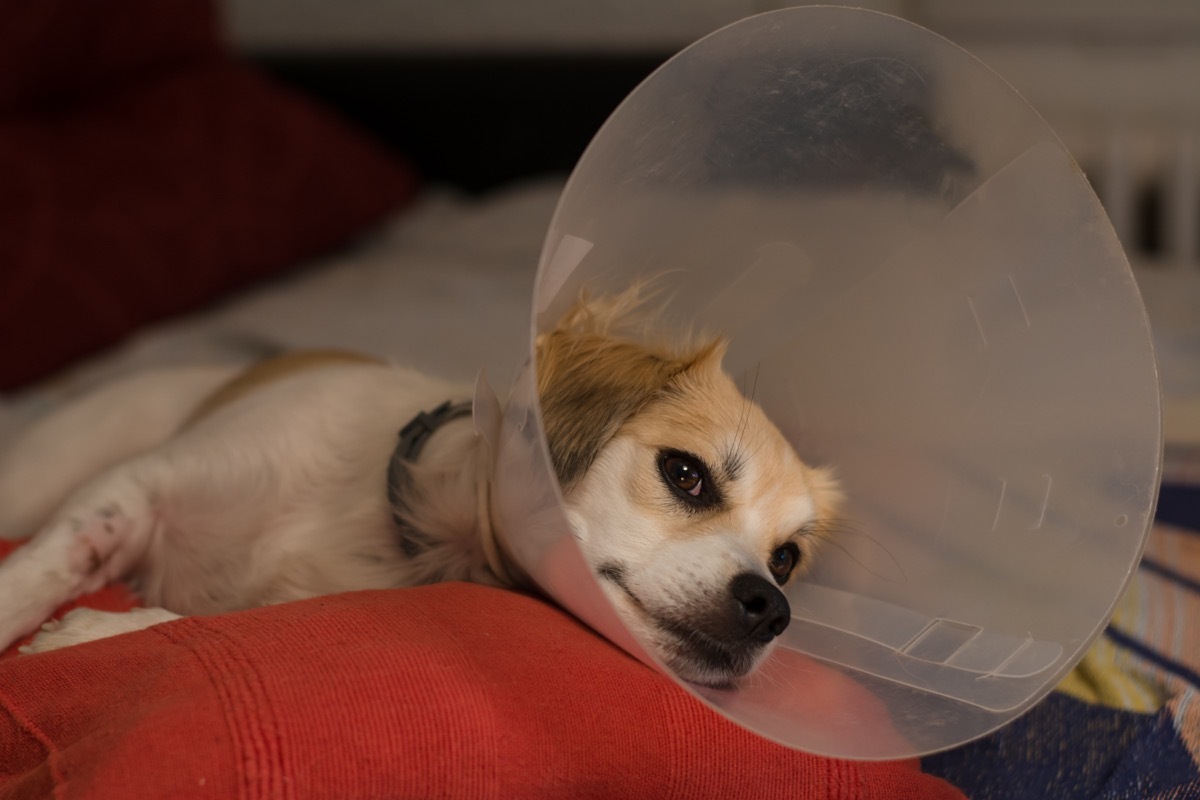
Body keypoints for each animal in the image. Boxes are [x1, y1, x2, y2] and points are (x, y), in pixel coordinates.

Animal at [0, 291, 840, 690]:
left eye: (787, 559)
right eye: (685, 473)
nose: (771, 608)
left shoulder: (300, 603)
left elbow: (202, 624)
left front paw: (92, 634)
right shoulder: (137, 483)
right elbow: (40, 569)